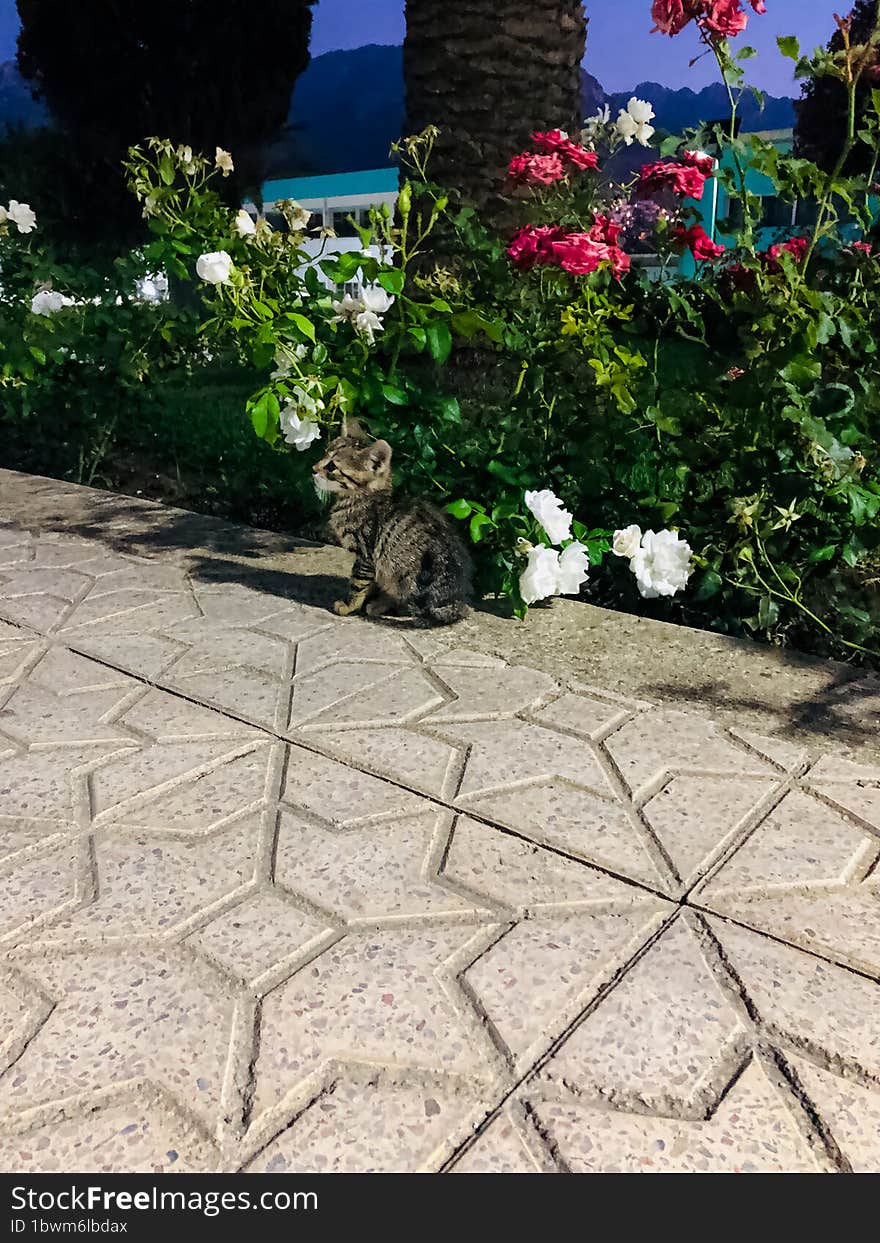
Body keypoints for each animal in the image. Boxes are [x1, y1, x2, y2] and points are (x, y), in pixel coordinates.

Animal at [313, 427, 469, 626]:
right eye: (324, 453)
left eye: (332, 466)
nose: (313, 469)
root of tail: (455, 601)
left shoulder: (366, 554)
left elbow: (357, 583)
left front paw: (349, 606)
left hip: (403, 575)